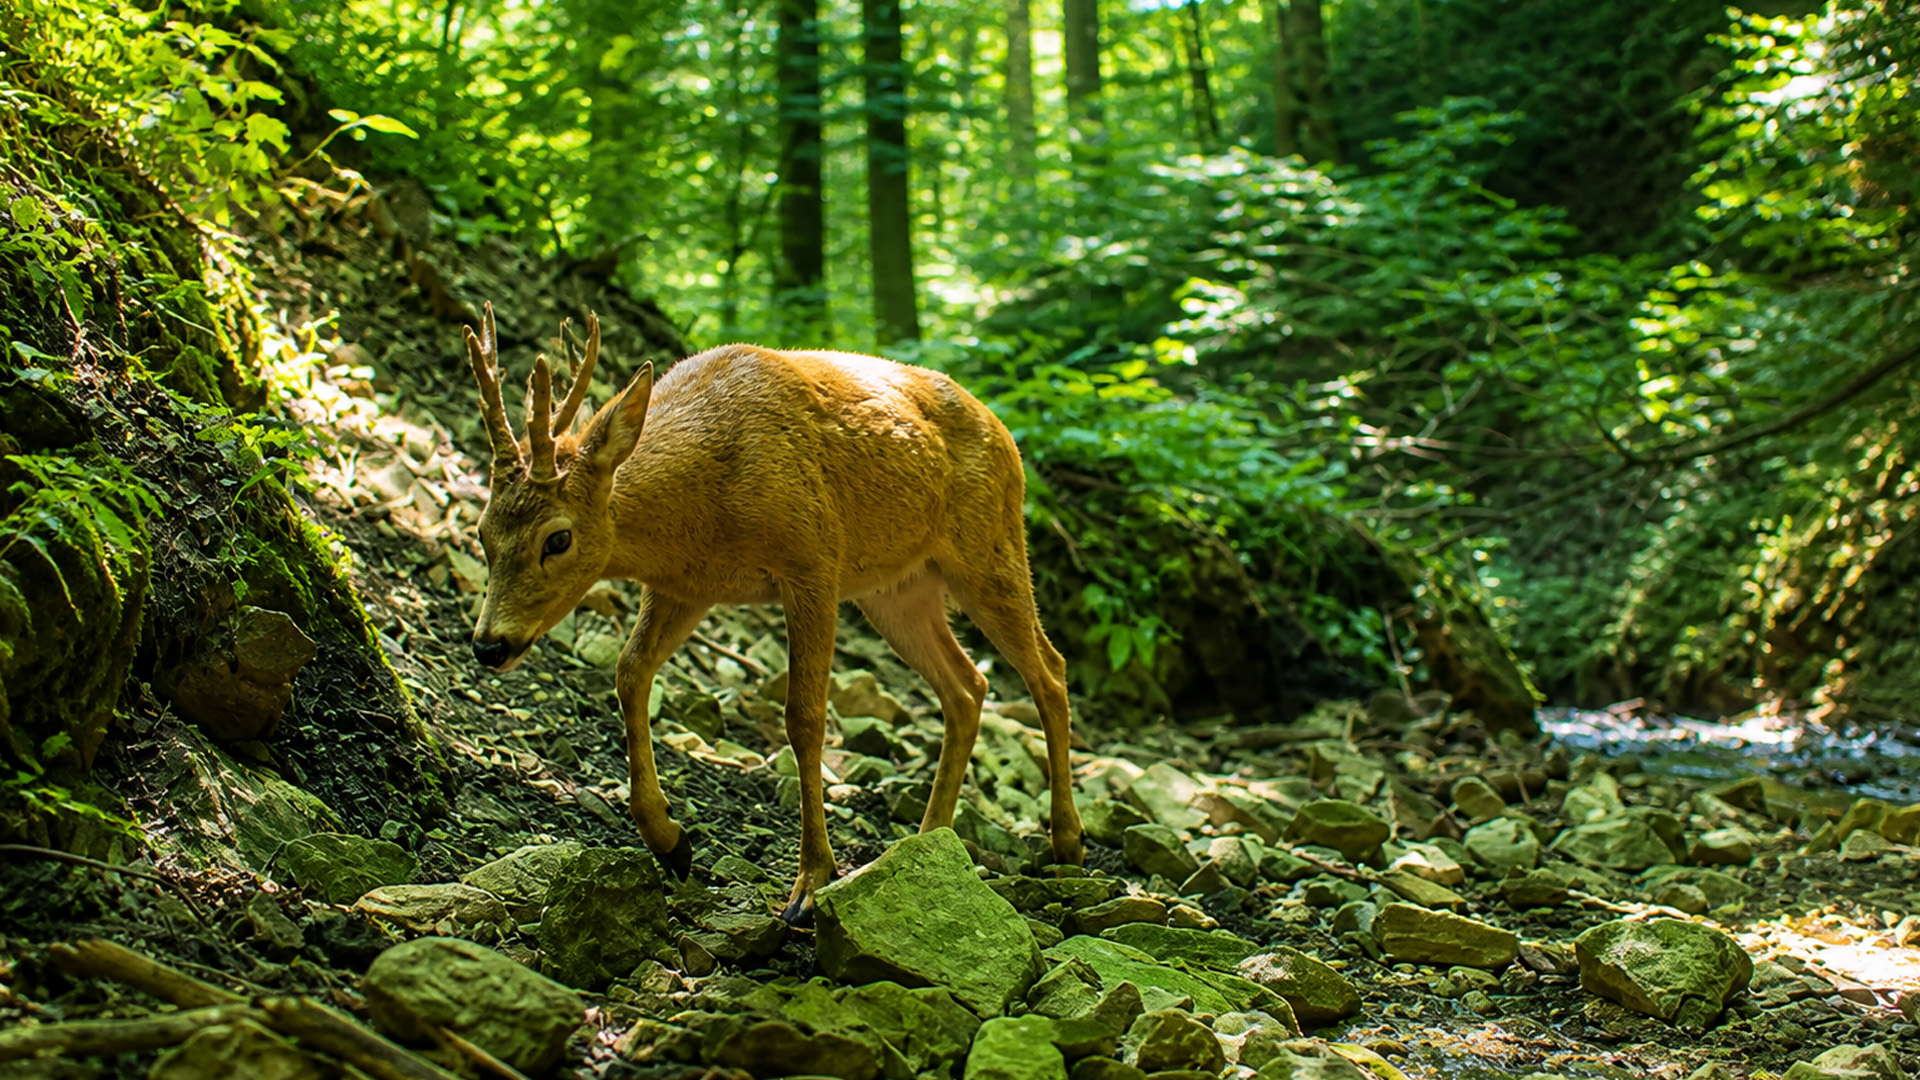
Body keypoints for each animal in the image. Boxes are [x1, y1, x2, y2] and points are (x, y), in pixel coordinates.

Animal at [460, 303, 1085, 922]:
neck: (701, 503)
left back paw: (1066, 841)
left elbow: (804, 718)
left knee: (1048, 669)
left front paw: (809, 884)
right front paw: (670, 840)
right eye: (483, 531)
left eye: (557, 539)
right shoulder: (687, 587)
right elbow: (629, 672)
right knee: (968, 685)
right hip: (896, 591)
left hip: (988, 547)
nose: (489, 644)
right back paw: (928, 839)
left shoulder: (812, 559)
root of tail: (1007, 437)